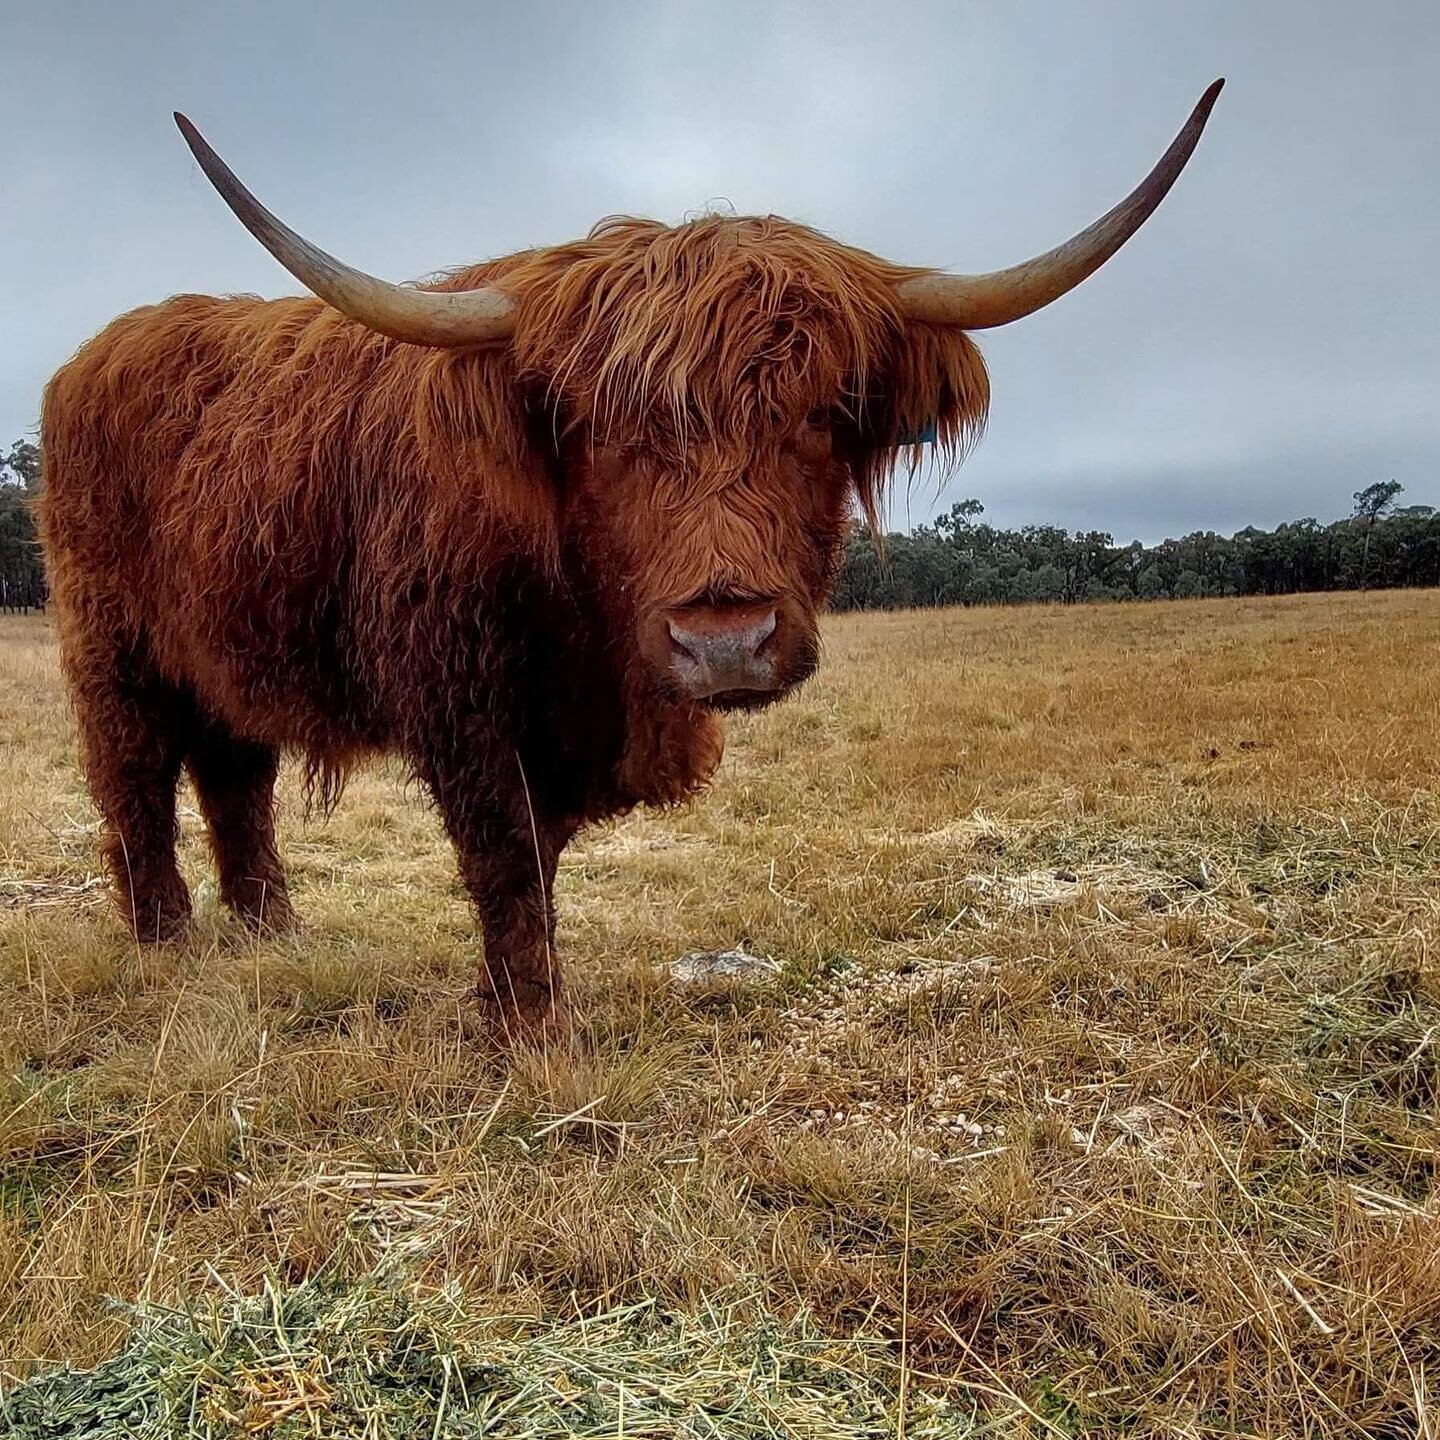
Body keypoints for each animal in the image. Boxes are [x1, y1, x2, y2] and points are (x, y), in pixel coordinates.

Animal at [39, 81, 1221, 1036]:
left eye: (820, 416)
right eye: (598, 433)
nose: (725, 640)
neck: (589, 638)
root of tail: (96, 353)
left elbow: (542, 861)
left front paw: (514, 1003)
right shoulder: (465, 710)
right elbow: (507, 864)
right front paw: (532, 1031)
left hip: (225, 649)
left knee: (235, 775)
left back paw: (272, 935)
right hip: (113, 650)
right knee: (136, 779)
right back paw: (167, 944)